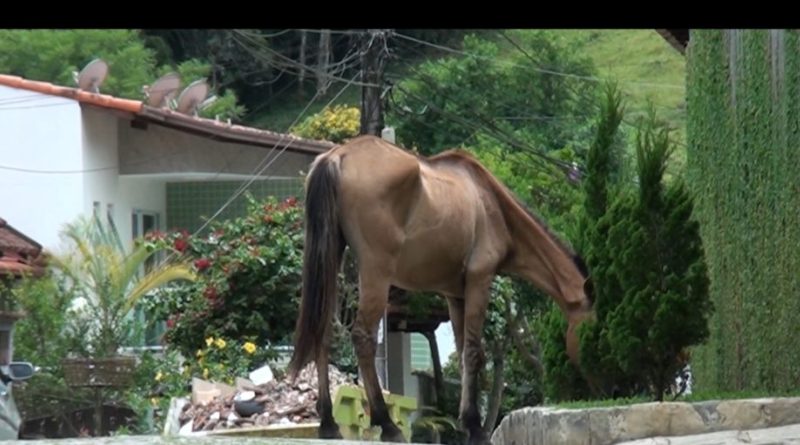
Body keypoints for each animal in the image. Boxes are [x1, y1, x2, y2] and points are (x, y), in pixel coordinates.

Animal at [290, 135, 592, 444]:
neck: (492, 205)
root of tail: (337, 156)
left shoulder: (454, 294)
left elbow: (462, 353)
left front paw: (466, 421)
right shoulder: (479, 280)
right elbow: (474, 352)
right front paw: (475, 427)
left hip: (331, 260)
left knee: (323, 332)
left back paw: (328, 423)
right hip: (376, 271)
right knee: (363, 337)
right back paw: (387, 424)